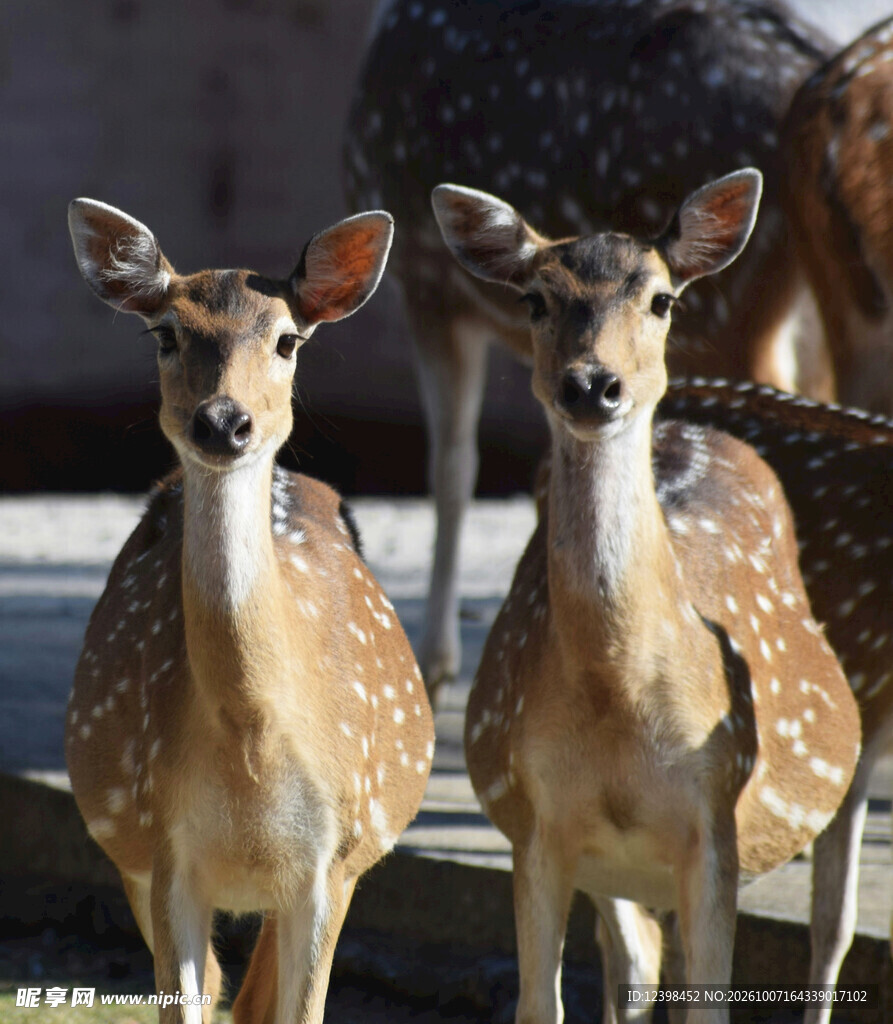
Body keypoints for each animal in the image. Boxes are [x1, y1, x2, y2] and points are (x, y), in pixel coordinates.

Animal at [64, 198, 435, 1023]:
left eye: (287, 338)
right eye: (164, 333)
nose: (222, 421)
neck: (251, 746)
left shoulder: (334, 855)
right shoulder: (164, 849)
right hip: (127, 847)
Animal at [431, 169, 862, 1024]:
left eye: (660, 299)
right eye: (534, 298)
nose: (592, 385)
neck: (619, 699)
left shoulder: (715, 819)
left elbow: (711, 1002)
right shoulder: (538, 825)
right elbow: (541, 1003)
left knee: (823, 932)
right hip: (616, 870)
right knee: (635, 963)